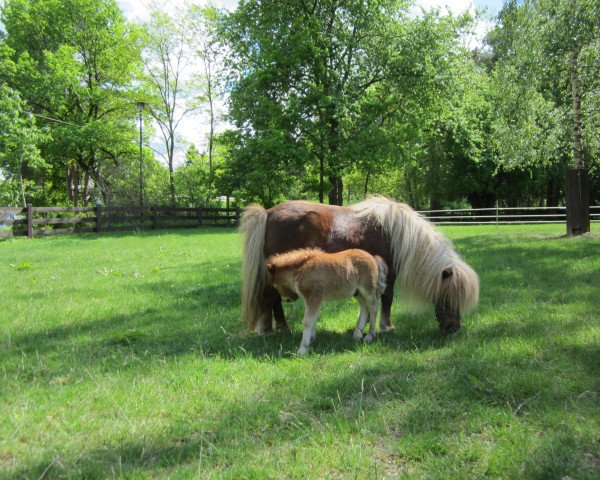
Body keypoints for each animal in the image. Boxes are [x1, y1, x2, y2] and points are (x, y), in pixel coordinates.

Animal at [239, 195, 478, 334]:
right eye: (449, 294)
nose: (453, 328)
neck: (396, 234)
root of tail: (267, 213)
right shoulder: (389, 273)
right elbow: (387, 298)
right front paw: (387, 326)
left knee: (272, 299)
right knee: (272, 298)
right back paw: (274, 329)